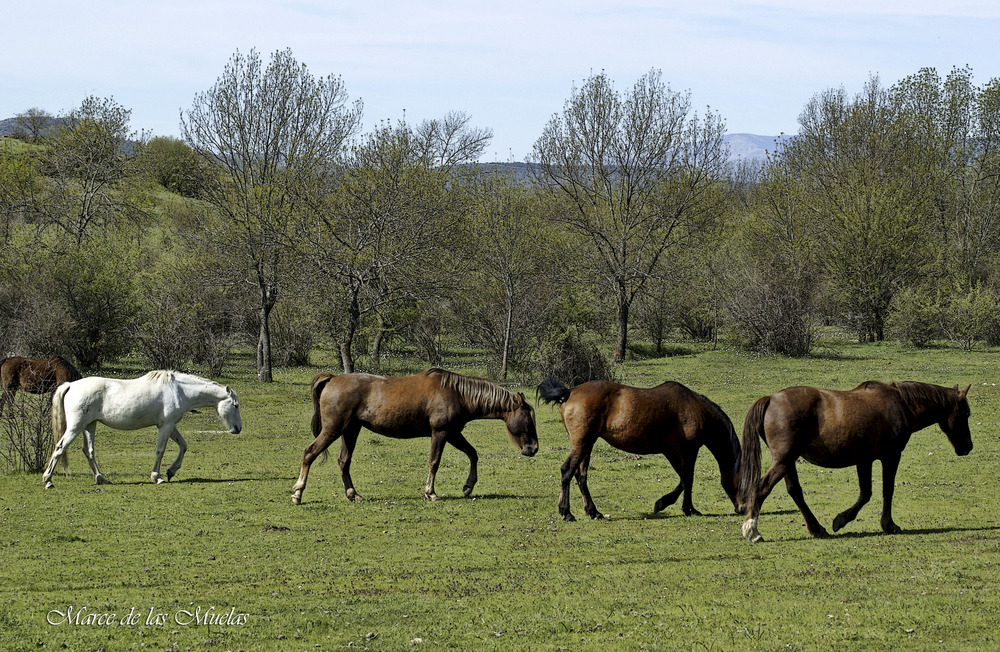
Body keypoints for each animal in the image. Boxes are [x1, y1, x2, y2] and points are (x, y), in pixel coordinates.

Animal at [39, 372, 244, 488]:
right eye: (235, 405)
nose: (238, 429)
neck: (178, 390)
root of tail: (71, 385)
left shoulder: (170, 425)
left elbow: (183, 445)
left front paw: (171, 471)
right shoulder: (166, 426)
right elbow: (160, 450)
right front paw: (157, 477)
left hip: (89, 426)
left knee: (88, 451)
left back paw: (100, 478)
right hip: (75, 427)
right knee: (60, 448)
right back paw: (48, 480)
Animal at [290, 366, 540, 504]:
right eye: (528, 420)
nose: (533, 448)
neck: (457, 394)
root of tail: (332, 378)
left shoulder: (453, 434)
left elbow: (473, 454)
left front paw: (468, 486)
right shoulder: (440, 433)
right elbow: (434, 462)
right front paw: (431, 493)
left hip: (350, 431)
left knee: (344, 461)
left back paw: (353, 494)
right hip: (333, 430)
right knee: (309, 453)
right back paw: (298, 493)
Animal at [540, 376, 744, 520]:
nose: (742, 509)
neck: (696, 409)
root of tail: (571, 391)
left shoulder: (672, 452)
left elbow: (683, 479)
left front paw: (667, 503)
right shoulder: (688, 450)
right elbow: (688, 479)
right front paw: (686, 508)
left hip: (587, 445)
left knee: (581, 476)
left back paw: (593, 512)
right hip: (582, 444)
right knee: (567, 471)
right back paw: (567, 512)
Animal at [740, 380, 972, 544]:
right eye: (966, 413)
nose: (968, 447)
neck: (900, 404)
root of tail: (770, 399)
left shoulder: (865, 460)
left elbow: (866, 493)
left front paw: (841, 519)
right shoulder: (891, 456)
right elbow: (886, 490)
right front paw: (887, 525)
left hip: (787, 462)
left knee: (795, 491)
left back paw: (817, 528)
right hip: (784, 461)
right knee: (762, 487)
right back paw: (752, 531)